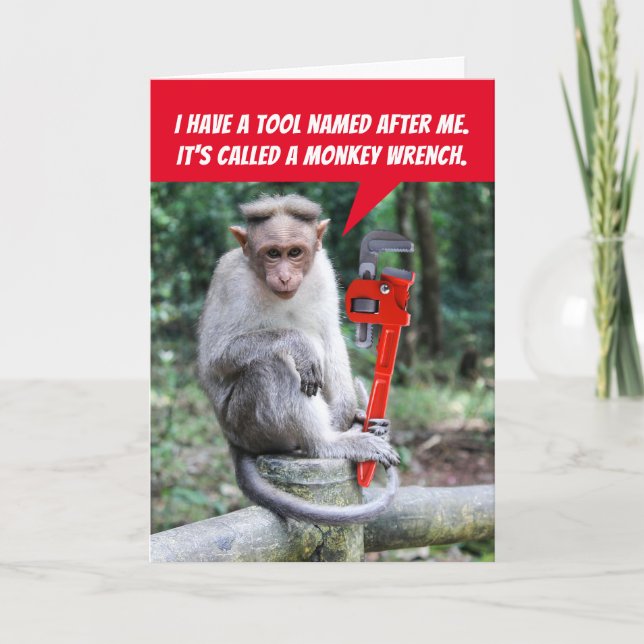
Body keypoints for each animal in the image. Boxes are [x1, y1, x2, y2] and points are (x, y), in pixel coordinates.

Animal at [197, 194, 400, 525]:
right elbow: (214, 358)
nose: (283, 275)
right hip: (246, 425)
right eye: (272, 253)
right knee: (272, 367)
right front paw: (297, 343)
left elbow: (330, 335)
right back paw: (328, 443)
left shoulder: (323, 270)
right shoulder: (232, 281)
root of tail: (233, 441)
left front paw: (348, 409)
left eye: (294, 252)